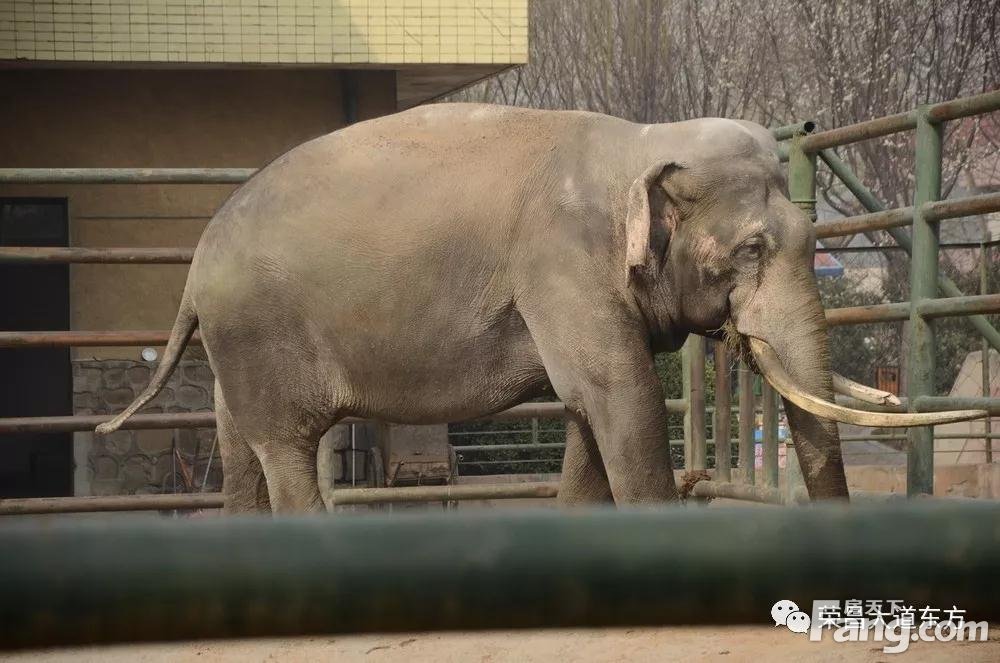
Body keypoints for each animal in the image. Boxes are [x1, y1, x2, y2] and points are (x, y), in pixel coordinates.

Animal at [95, 104, 984, 510]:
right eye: (753, 251)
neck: (638, 144)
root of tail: (195, 263)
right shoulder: (562, 266)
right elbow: (620, 395)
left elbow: (591, 414)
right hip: (259, 332)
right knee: (284, 447)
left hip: (232, 349)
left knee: (239, 446)